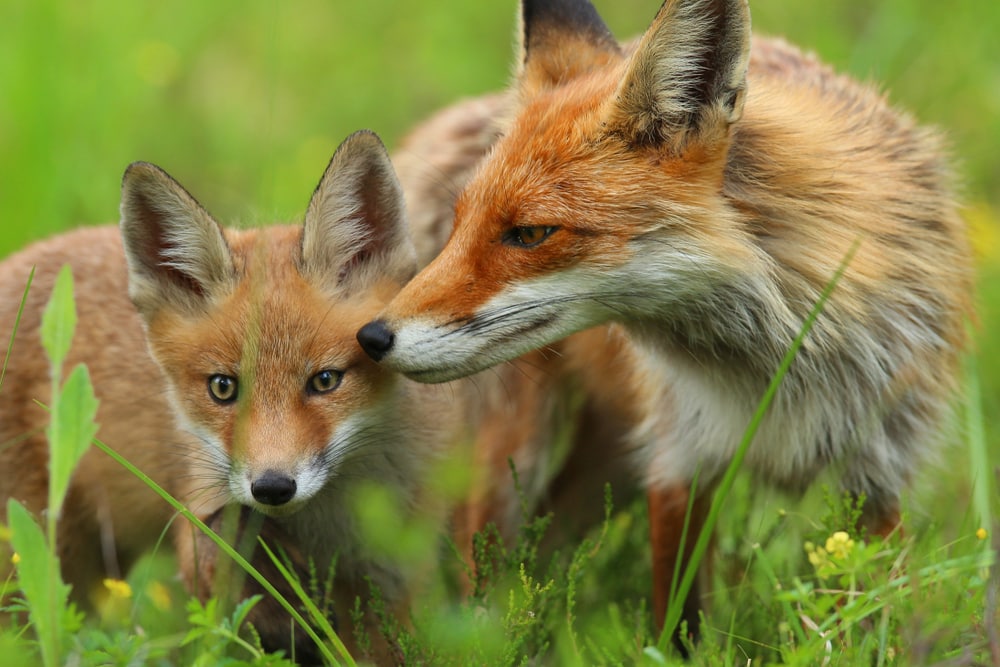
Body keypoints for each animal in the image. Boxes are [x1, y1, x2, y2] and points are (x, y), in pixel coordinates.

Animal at [0, 130, 480, 663]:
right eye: (223, 387)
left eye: (325, 381)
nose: (271, 487)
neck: (328, 529)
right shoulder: (201, 510)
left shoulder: (395, 575)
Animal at [357, 0, 975, 649]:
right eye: (463, 223)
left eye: (530, 233)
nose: (371, 337)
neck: (781, 364)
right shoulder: (680, 455)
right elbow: (679, 623)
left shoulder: (881, 471)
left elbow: (877, 612)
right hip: (515, 458)